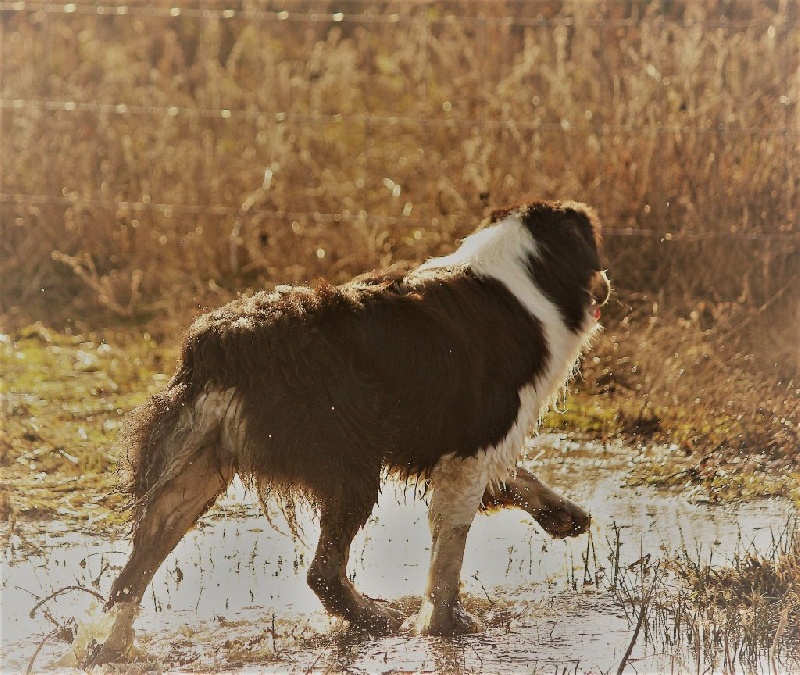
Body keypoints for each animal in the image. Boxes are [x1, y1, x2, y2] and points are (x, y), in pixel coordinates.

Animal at [90, 201, 608, 664]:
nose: (605, 289)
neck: (527, 277)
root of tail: (225, 339)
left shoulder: (470, 446)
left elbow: (516, 480)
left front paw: (567, 517)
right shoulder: (474, 444)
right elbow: (449, 555)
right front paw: (444, 630)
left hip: (192, 474)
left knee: (131, 575)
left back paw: (106, 647)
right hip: (350, 465)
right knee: (322, 573)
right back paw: (381, 619)